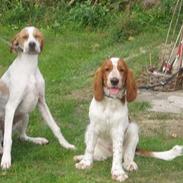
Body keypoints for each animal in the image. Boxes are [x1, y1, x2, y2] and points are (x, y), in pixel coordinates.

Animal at [0, 26, 75, 170]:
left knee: (22, 137)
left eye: (36, 36)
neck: (29, 68)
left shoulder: (41, 102)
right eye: (24, 37)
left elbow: (55, 127)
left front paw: (66, 145)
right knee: (5, 138)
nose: (32, 44)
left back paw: (38, 140)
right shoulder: (11, 107)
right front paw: (6, 160)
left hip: (25, 115)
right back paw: (1, 151)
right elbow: (8, 139)